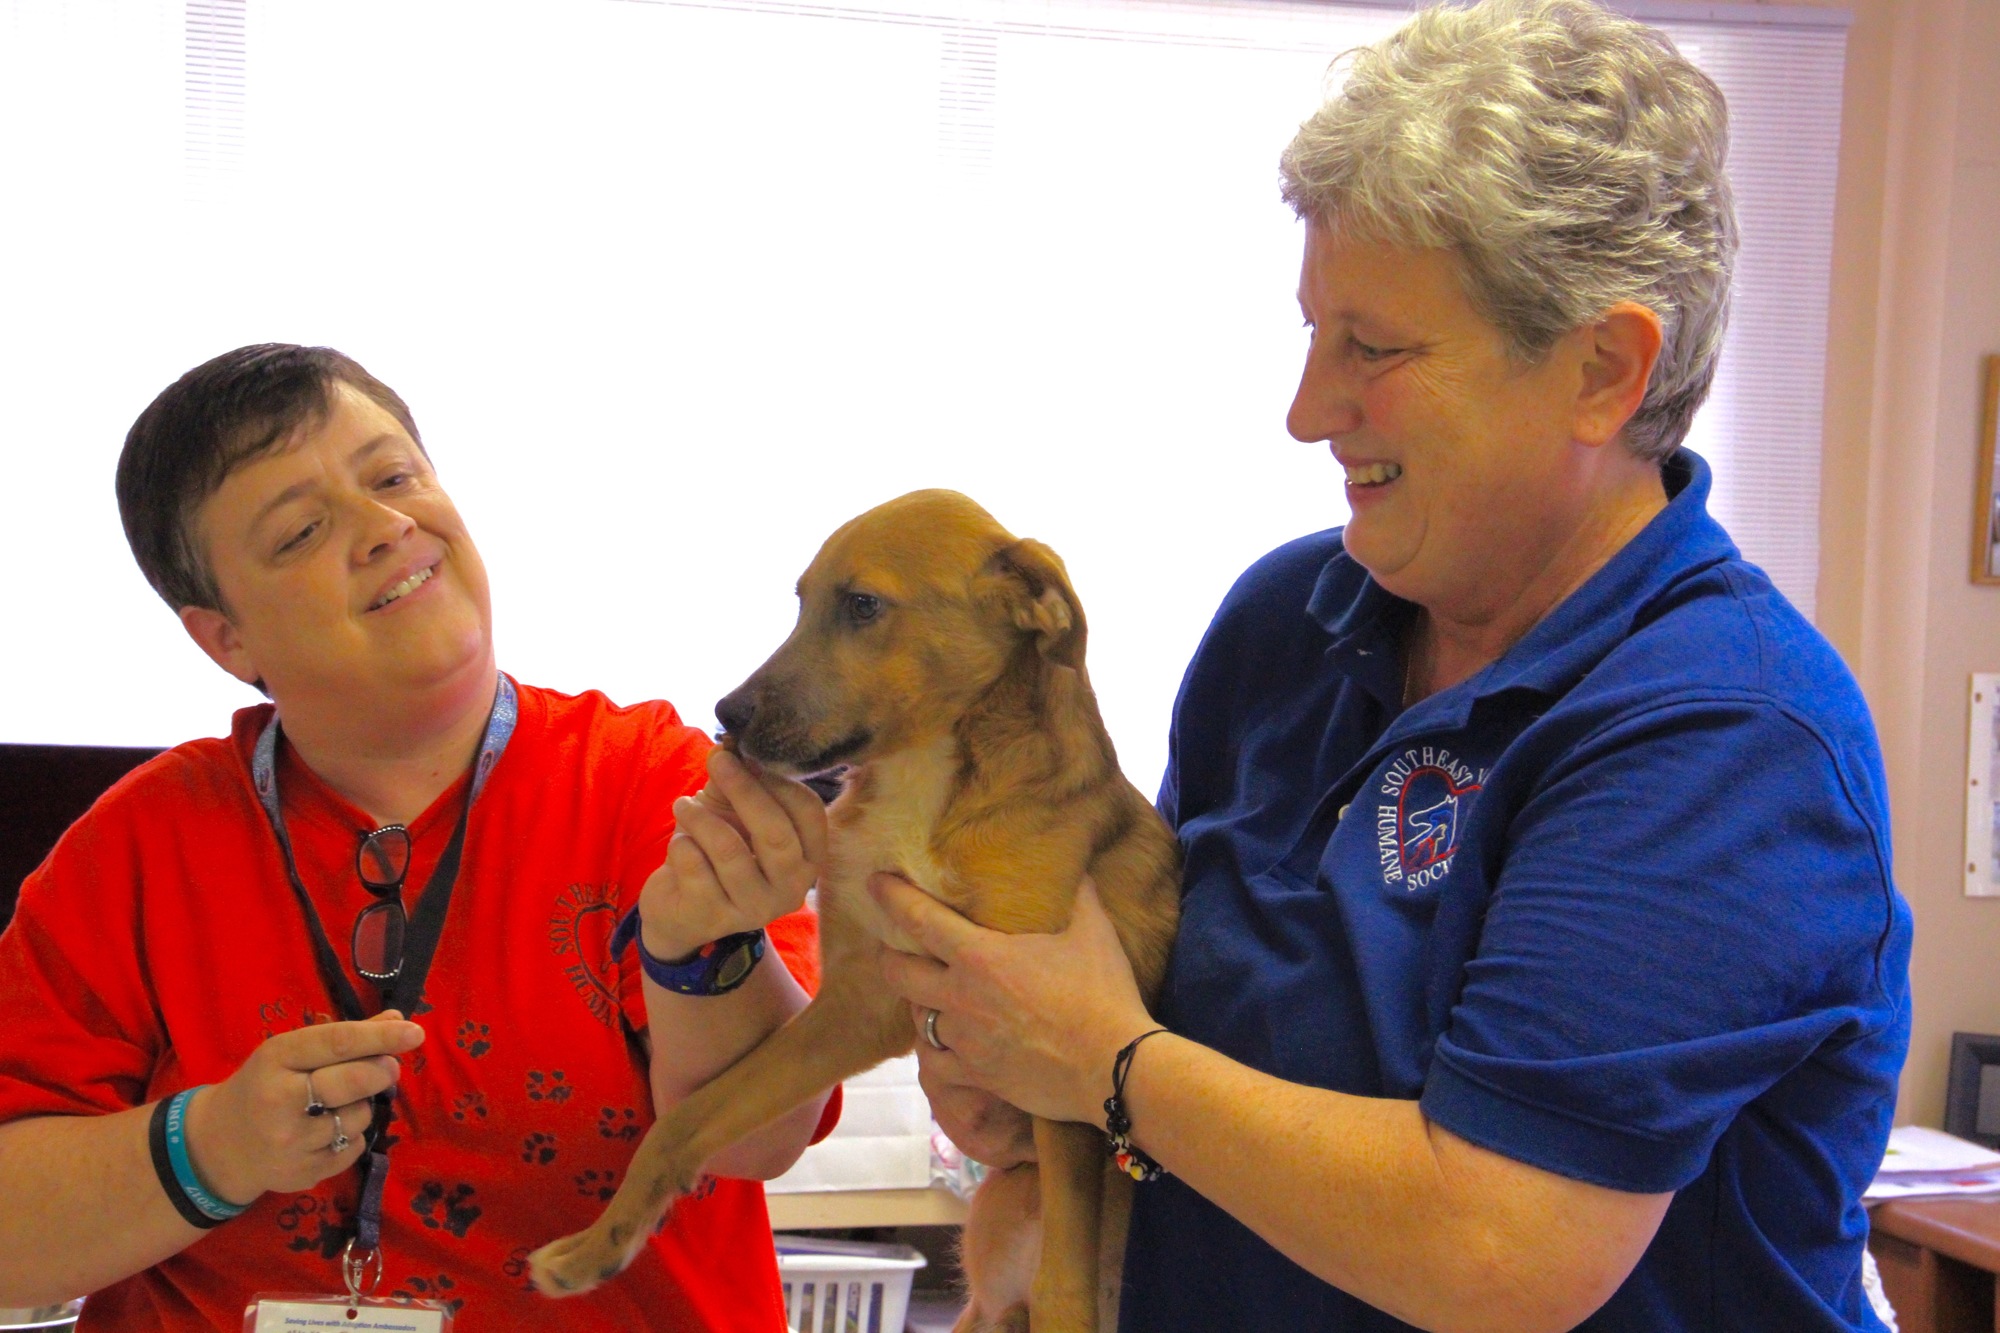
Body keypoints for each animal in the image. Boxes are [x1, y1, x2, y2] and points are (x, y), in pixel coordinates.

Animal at [524, 490, 1176, 1328]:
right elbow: (692, 1115)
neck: (930, 787)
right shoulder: (863, 1003)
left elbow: (1067, 1275)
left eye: (863, 604)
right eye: (800, 601)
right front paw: (594, 1248)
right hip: (988, 1285)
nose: (727, 711)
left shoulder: (1048, 1052)